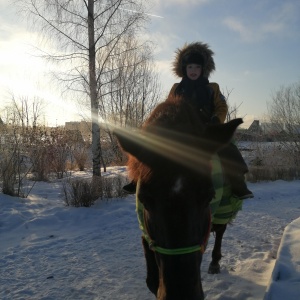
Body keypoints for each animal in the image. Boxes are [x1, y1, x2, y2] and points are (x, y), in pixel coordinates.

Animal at [113, 96, 243, 300]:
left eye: (209, 196)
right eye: (144, 199)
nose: (181, 294)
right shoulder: (144, 229)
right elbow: (151, 280)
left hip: (225, 207)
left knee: (221, 230)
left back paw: (215, 262)